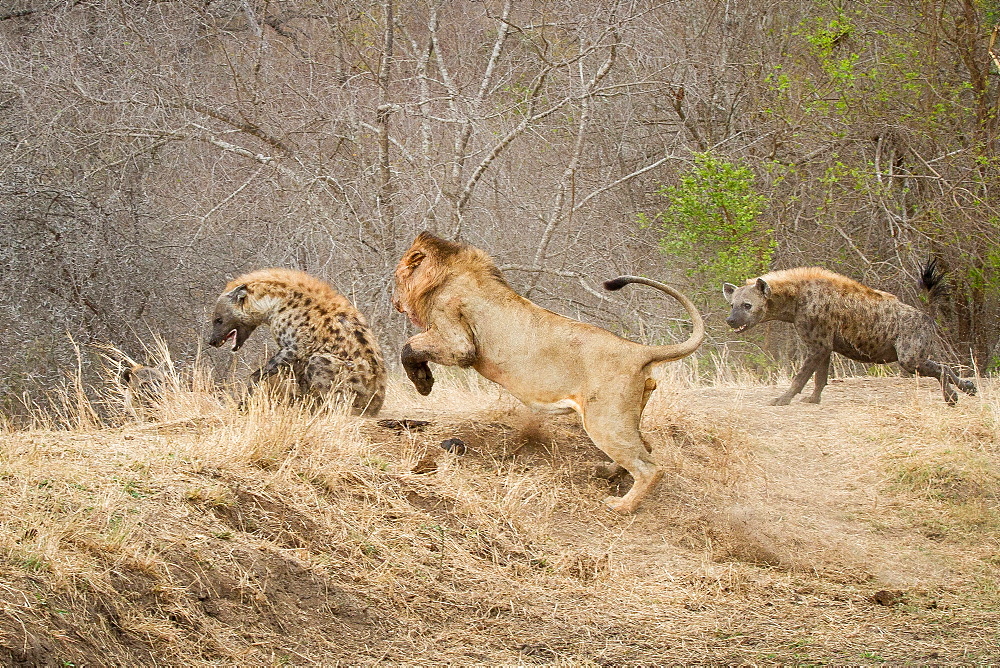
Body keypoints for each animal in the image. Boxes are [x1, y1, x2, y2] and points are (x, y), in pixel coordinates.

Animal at [390, 232, 704, 516]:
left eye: (396, 278)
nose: (393, 301)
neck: (445, 272)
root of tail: (639, 351)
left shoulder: (459, 343)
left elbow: (409, 346)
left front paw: (423, 383)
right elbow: (412, 346)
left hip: (605, 420)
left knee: (651, 468)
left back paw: (622, 506)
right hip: (625, 416)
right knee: (645, 447)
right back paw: (606, 472)